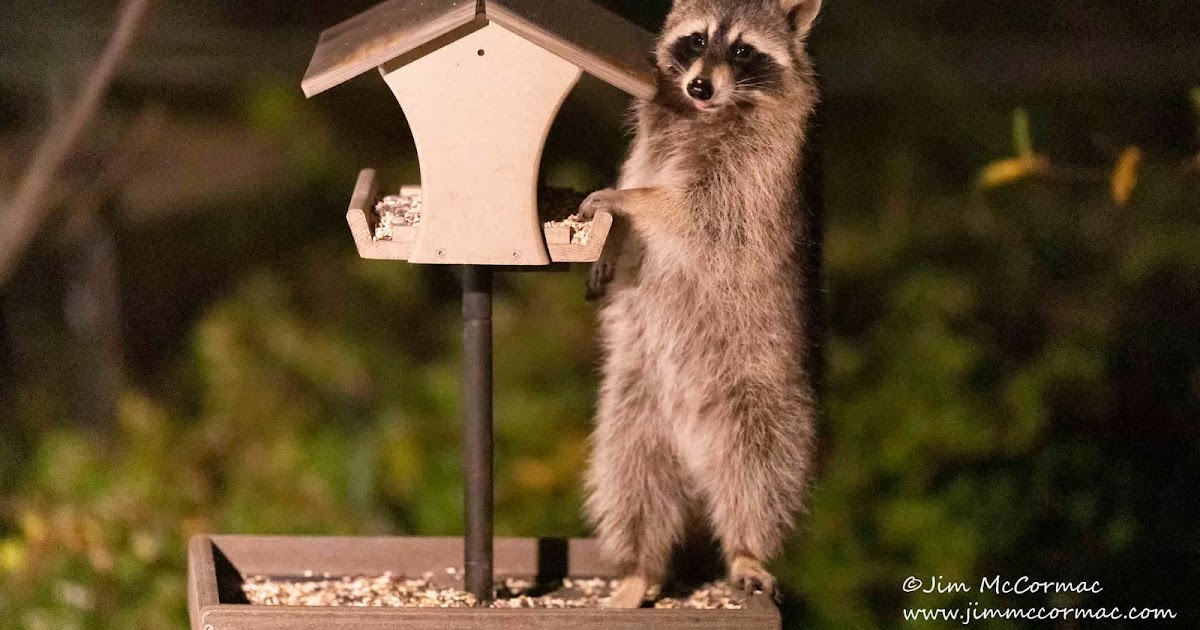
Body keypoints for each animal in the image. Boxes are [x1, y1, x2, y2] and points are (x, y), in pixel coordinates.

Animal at [577, 0, 823, 609]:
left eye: (742, 50)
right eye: (696, 40)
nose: (699, 85)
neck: (705, 114)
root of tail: (691, 449)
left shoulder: (754, 174)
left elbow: (695, 209)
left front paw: (628, 201)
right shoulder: (650, 142)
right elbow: (641, 173)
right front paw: (611, 239)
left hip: (763, 397)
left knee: (759, 473)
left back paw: (746, 546)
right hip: (633, 406)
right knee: (631, 479)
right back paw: (641, 565)